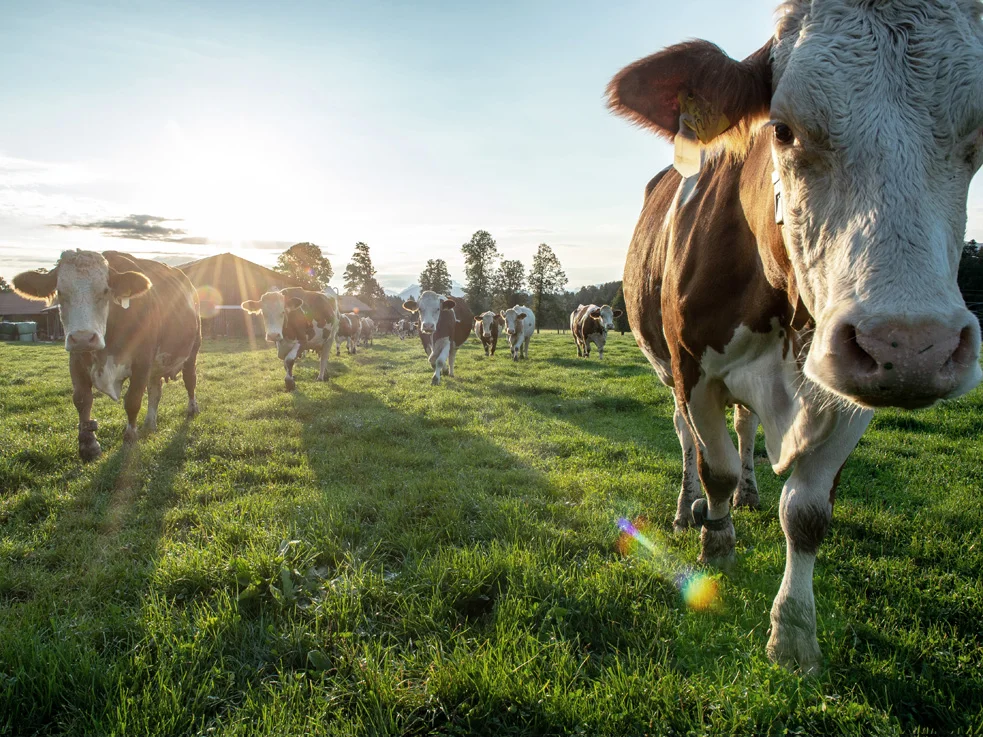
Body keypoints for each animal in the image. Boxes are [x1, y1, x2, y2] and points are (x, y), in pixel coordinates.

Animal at [13, 250, 201, 461]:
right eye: (60, 291)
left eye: (105, 291)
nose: (83, 337)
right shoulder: (76, 359)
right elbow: (82, 399)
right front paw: (88, 444)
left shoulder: (142, 361)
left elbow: (133, 400)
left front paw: (130, 437)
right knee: (155, 390)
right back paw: (149, 423)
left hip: (193, 349)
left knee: (190, 380)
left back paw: (192, 409)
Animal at [607, 0, 983, 673]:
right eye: (780, 129)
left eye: (980, 135)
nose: (915, 345)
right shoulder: (693, 370)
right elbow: (715, 468)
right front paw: (716, 547)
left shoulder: (851, 388)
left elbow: (806, 513)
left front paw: (793, 635)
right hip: (666, 369)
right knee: (687, 442)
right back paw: (688, 510)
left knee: (747, 430)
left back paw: (753, 492)